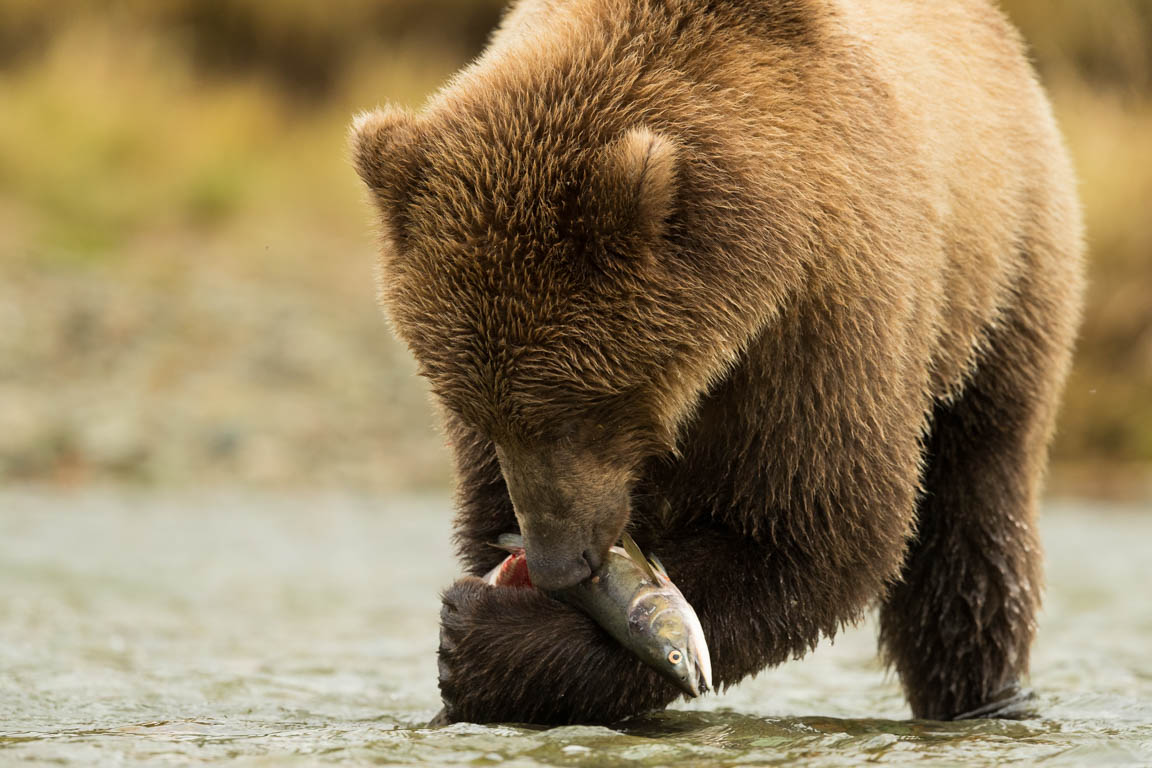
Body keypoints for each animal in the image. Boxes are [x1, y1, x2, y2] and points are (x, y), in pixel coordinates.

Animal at [347, 0, 1078, 727]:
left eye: (579, 411)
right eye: (474, 411)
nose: (559, 563)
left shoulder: (820, 324)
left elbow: (813, 532)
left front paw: (487, 638)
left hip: (1000, 291)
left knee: (970, 533)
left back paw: (983, 696)